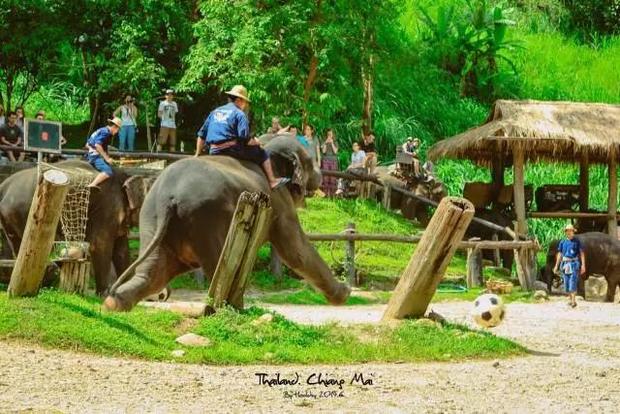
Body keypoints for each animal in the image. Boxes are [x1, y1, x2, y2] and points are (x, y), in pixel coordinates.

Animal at [0, 159, 153, 294]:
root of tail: (4, 185)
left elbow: (121, 251)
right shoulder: (108, 207)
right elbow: (100, 245)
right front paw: (105, 294)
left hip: (11, 216)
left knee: (17, 245)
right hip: (26, 211)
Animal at [104, 135, 352, 310]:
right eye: (310, 162)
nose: (321, 175)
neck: (266, 144)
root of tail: (168, 198)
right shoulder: (279, 200)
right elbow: (295, 250)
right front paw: (346, 292)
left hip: (152, 218)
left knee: (154, 273)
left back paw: (113, 303)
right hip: (207, 220)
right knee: (218, 265)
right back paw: (235, 309)